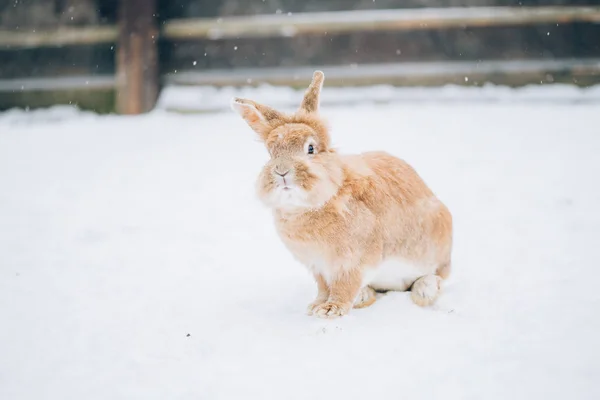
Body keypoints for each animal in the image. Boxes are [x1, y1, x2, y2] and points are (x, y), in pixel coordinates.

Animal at [232, 70, 452, 318]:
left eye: (310, 149)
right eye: (271, 153)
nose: (281, 172)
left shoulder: (351, 262)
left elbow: (344, 286)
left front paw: (331, 310)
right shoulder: (318, 267)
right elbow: (323, 287)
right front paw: (316, 305)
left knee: (436, 277)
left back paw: (424, 291)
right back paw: (364, 296)